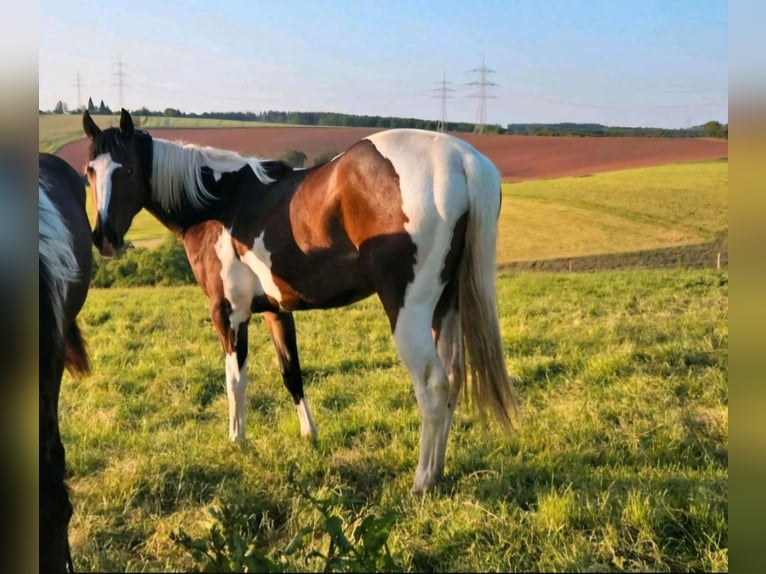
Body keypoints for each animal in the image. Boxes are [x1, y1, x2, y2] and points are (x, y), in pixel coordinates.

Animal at [82, 108, 519, 494]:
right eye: (90, 171)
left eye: (128, 170)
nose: (104, 238)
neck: (220, 205)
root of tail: (462, 159)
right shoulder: (277, 312)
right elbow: (291, 372)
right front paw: (310, 435)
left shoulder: (229, 314)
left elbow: (235, 380)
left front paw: (237, 442)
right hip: (447, 305)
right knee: (453, 380)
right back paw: (439, 471)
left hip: (408, 312)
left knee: (433, 386)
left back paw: (423, 481)